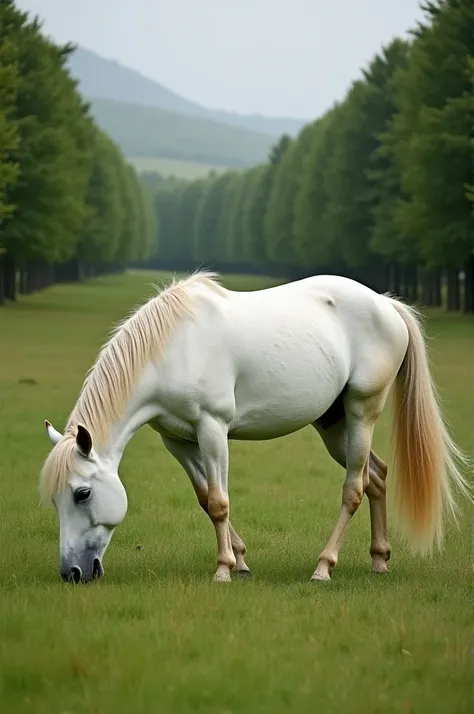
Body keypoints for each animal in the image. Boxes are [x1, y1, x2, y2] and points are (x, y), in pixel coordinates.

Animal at [40, 270, 470, 580]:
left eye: (81, 493)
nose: (72, 572)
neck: (173, 348)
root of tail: (386, 304)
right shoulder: (178, 442)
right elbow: (206, 499)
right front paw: (241, 560)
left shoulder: (212, 429)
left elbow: (219, 501)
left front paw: (224, 570)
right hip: (333, 425)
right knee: (376, 476)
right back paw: (379, 560)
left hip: (363, 411)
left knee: (355, 487)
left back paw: (324, 567)